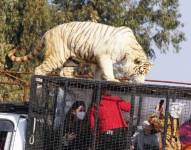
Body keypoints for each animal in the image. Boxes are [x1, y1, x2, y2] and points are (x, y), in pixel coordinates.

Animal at [7, 21, 151, 82]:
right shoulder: (104, 56)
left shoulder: (98, 60)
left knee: (64, 72)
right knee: (39, 69)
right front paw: (113, 79)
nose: (141, 82)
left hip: (72, 60)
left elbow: (99, 73)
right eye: (140, 72)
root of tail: (47, 32)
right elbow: (108, 70)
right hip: (56, 56)